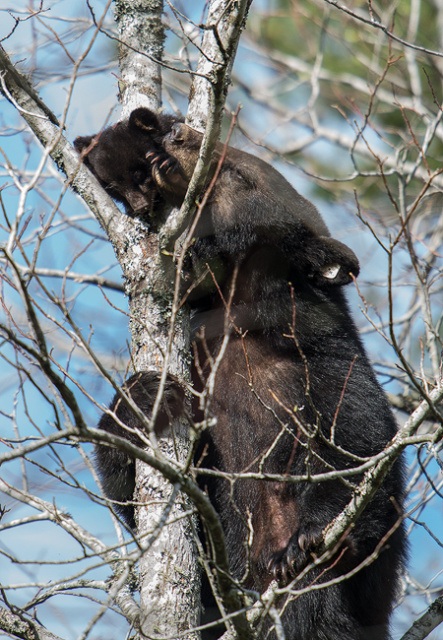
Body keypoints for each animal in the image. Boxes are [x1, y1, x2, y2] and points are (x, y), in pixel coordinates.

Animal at [75, 110, 406, 640]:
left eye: (238, 176)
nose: (175, 142)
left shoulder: (320, 356)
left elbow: (360, 437)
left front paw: (315, 532)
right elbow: (131, 498)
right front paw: (143, 396)